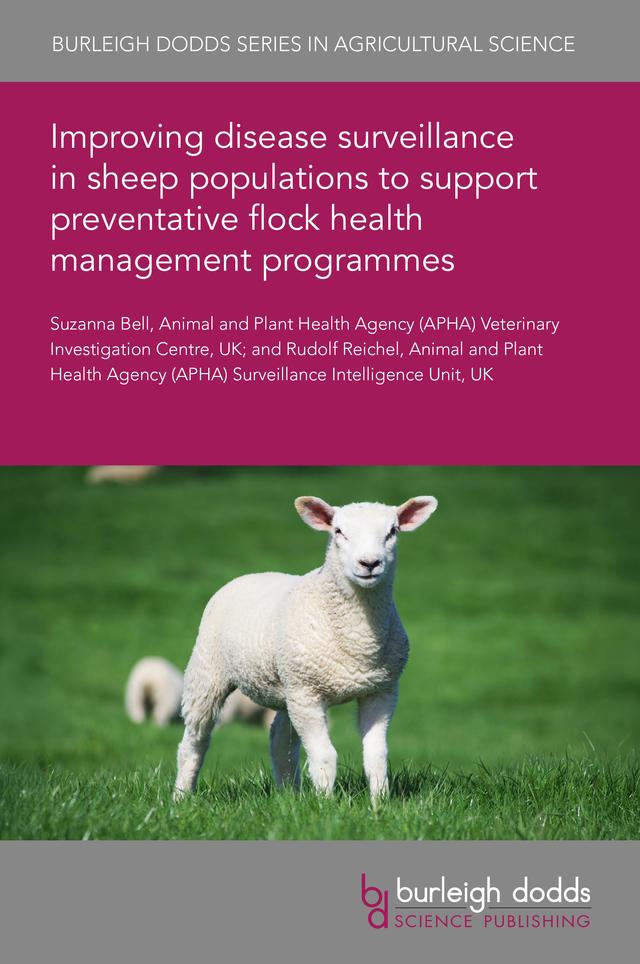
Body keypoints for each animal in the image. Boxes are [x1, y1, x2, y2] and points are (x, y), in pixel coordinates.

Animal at [174, 494, 438, 802]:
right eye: (338, 532)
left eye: (392, 531)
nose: (370, 563)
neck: (358, 641)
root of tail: (252, 574)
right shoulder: (307, 694)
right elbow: (325, 756)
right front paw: (326, 804)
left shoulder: (381, 691)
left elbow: (377, 756)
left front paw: (379, 803)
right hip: (208, 671)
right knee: (195, 741)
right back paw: (181, 796)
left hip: (287, 686)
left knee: (279, 738)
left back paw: (289, 794)